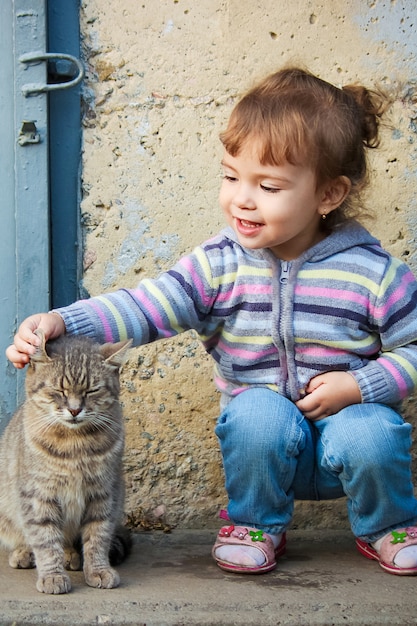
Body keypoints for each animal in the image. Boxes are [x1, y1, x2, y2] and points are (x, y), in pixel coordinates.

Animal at [0, 330, 132, 592]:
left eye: (92, 391)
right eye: (59, 390)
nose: (74, 410)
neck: (74, 443)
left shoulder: (104, 494)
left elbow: (98, 536)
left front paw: (98, 570)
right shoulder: (39, 495)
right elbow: (46, 540)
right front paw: (52, 575)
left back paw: (71, 555)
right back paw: (24, 553)